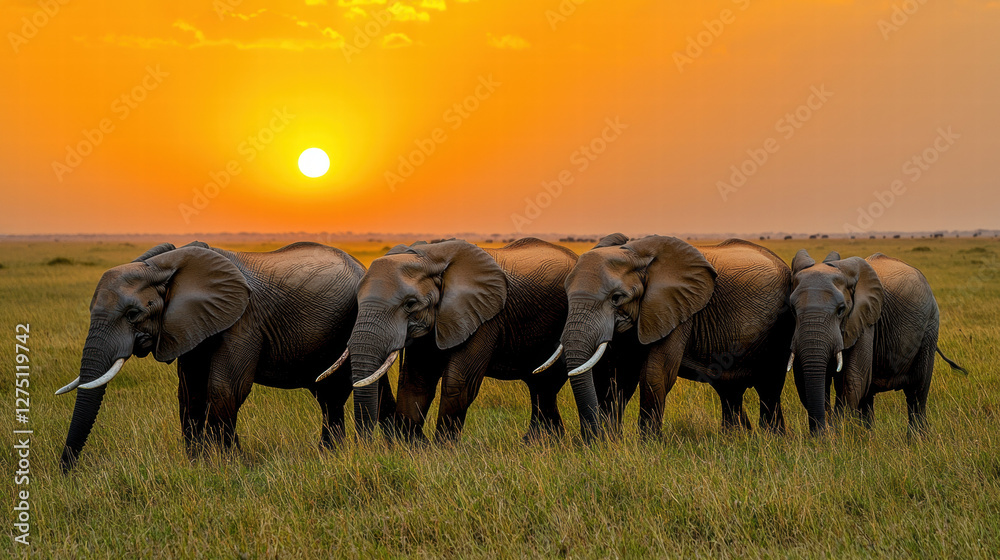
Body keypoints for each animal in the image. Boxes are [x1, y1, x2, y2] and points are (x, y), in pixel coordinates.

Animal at [55, 241, 394, 472]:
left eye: (133, 314)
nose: (65, 472)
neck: (165, 265)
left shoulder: (244, 320)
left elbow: (224, 388)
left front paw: (229, 465)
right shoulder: (188, 324)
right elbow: (190, 392)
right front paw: (198, 465)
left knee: (335, 393)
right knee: (328, 396)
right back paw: (330, 455)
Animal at [331, 237, 578, 443]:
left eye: (410, 304)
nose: (365, 446)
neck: (431, 257)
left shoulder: (484, 317)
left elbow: (458, 383)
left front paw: (442, 449)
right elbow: (416, 379)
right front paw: (410, 447)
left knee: (545, 383)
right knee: (541, 384)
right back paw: (539, 442)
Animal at [535, 234, 795, 440]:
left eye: (616, 298)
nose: (592, 439)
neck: (636, 255)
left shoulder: (676, 308)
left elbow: (655, 374)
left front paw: (647, 445)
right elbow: (617, 378)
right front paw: (612, 442)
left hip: (779, 329)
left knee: (770, 386)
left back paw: (773, 439)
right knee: (730, 390)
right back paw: (735, 438)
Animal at [788, 250, 966, 434]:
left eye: (841, 310)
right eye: (792, 309)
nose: (822, 431)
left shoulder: (865, 321)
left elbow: (852, 381)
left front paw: (835, 435)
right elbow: (805, 380)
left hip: (930, 327)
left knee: (917, 392)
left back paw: (917, 439)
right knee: (869, 398)